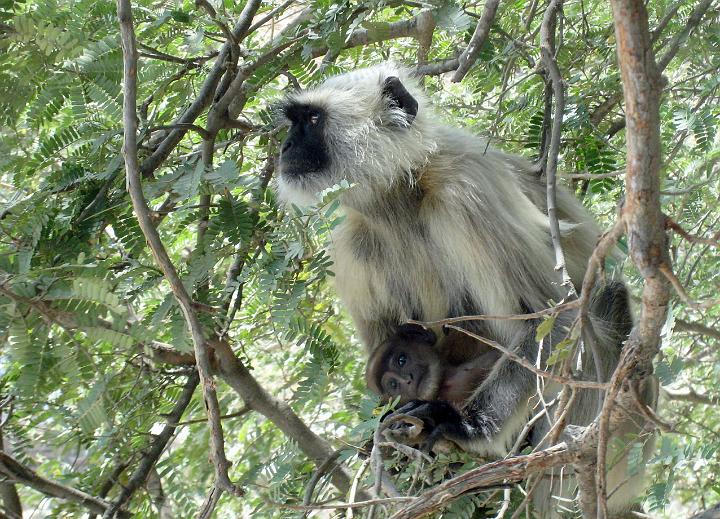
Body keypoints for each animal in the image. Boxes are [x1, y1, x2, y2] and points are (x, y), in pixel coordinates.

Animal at [276, 63, 660, 516]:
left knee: (595, 316)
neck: (401, 197)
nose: (285, 147)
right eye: (295, 122)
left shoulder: (467, 189)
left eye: (313, 120)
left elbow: (558, 314)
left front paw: (465, 426)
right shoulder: (352, 246)